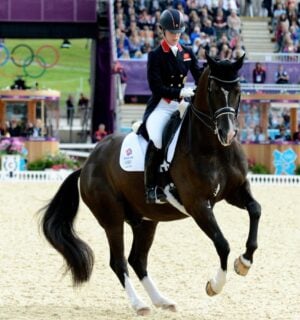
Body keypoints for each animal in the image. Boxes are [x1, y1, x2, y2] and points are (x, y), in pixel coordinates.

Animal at [41, 53, 262, 316]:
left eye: (237, 90)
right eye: (214, 90)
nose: (227, 133)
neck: (215, 148)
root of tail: (87, 164)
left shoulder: (235, 191)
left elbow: (255, 210)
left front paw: (245, 262)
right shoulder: (198, 205)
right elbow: (222, 243)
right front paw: (215, 285)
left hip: (145, 220)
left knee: (137, 260)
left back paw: (162, 301)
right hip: (112, 219)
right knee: (119, 262)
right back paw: (140, 305)